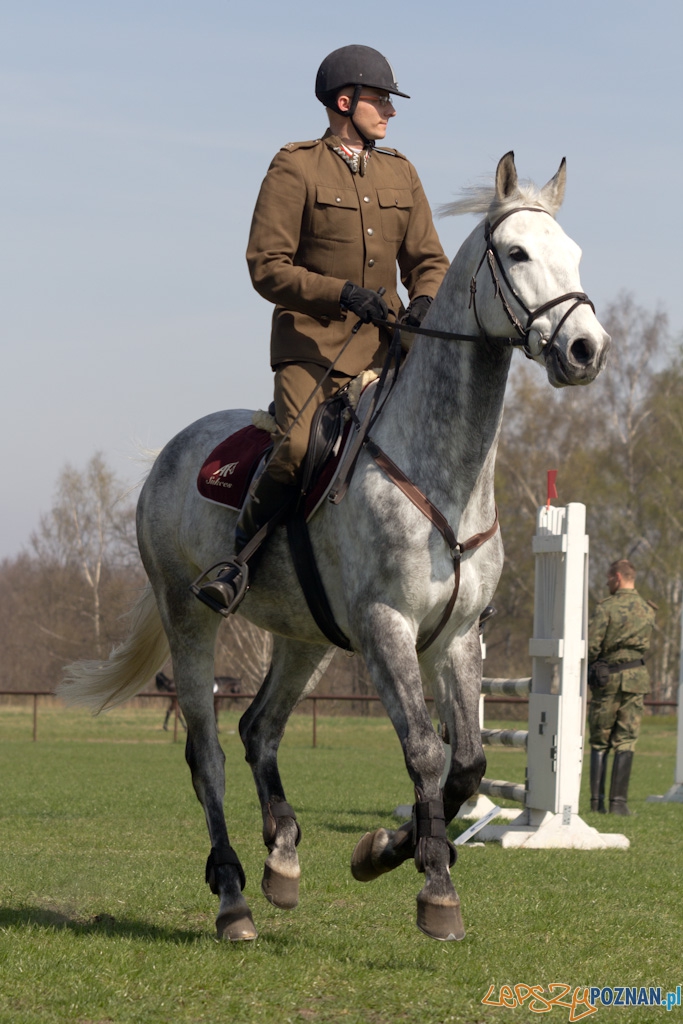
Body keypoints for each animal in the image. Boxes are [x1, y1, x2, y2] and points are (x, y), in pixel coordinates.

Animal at [59, 152, 610, 943]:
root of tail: (168, 454)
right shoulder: (387, 628)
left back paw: (283, 856)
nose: (585, 350)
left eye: (573, 253)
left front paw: (384, 849)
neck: (444, 469)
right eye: (515, 254)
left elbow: (469, 763)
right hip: (190, 618)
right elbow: (424, 750)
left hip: (305, 638)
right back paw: (233, 897)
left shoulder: (455, 638)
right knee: (208, 754)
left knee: (259, 729)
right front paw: (433, 886)